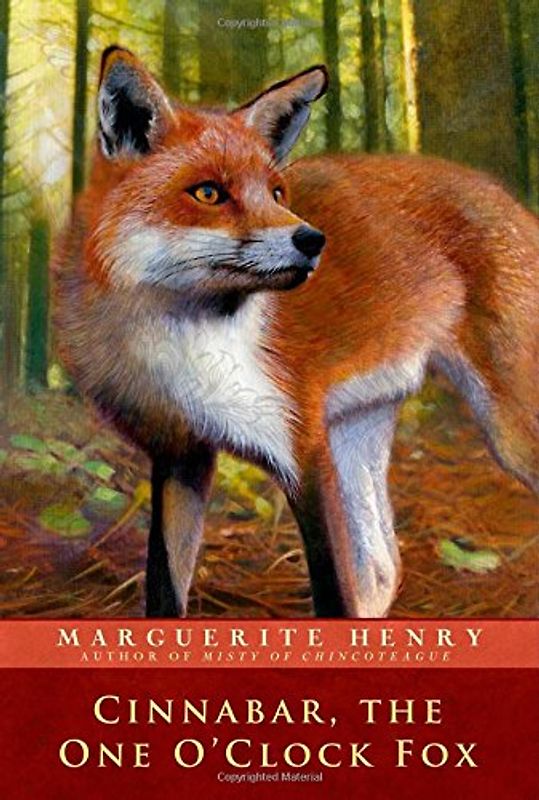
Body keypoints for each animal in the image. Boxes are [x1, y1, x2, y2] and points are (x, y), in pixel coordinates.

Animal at [54, 46, 539, 619]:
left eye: (277, 191)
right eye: (209, 192)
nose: (312, 240)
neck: (178, 346)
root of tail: (507, 196)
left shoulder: (301, 449)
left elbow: (331, 594)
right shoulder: (179, 456)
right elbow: (164, 592)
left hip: (510, 433)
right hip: (357, 434)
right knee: (383, 570)